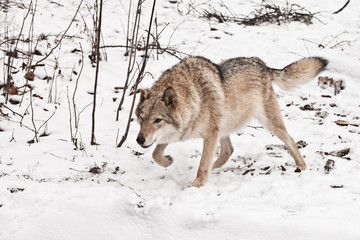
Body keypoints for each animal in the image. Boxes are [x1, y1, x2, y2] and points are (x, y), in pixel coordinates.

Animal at [134, 56, 326, 188]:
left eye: (157, 120)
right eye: (141, 118)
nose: (139, 140)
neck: (194, 97)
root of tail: (262, 64)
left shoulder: (210, 135)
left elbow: (202, 166)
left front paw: (196, 186)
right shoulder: (179, 133)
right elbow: (155, 154)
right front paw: (168, 161)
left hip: (269, 124)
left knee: (290, 139)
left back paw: (302, 166)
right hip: (224, 126)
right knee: (228, 151)